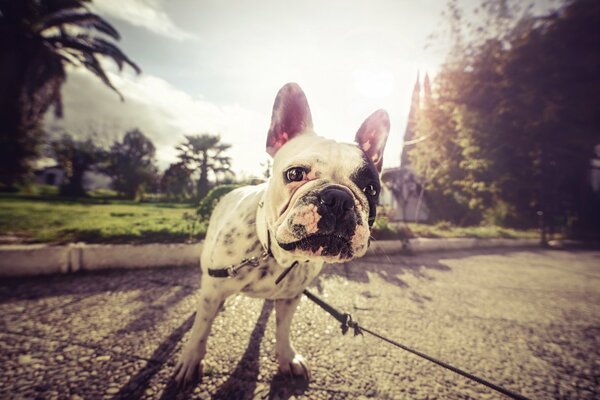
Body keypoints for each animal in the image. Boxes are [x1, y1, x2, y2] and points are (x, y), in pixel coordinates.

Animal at [173, 81, 390, 384]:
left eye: (371, 189)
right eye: (295, 174)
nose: (339, 198)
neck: (273, 255)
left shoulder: (290, 297)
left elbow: (283, 327)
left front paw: (287, 357)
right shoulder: (213, 290)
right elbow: (201, 328)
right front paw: (191, 359)